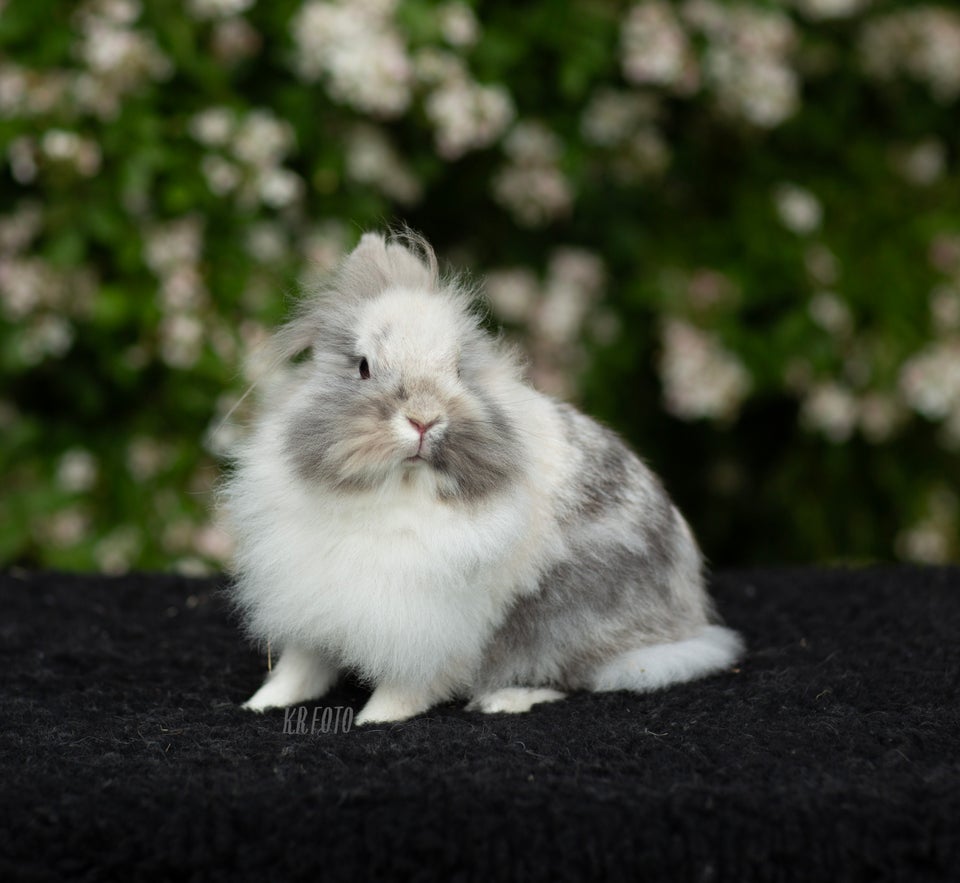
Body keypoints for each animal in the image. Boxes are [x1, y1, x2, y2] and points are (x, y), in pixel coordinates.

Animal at [223, 230, 744, 724]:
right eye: (363, 367)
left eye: (458, 371)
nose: (424, 419)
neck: (396, 492)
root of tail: (687, 622)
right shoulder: (314, 602)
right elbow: (298, 667)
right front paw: (260, 705)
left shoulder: (431, 631)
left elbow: (404, 686)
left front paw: (373, 721)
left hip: (569, 621)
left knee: (574, 677)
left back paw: (505, 700)